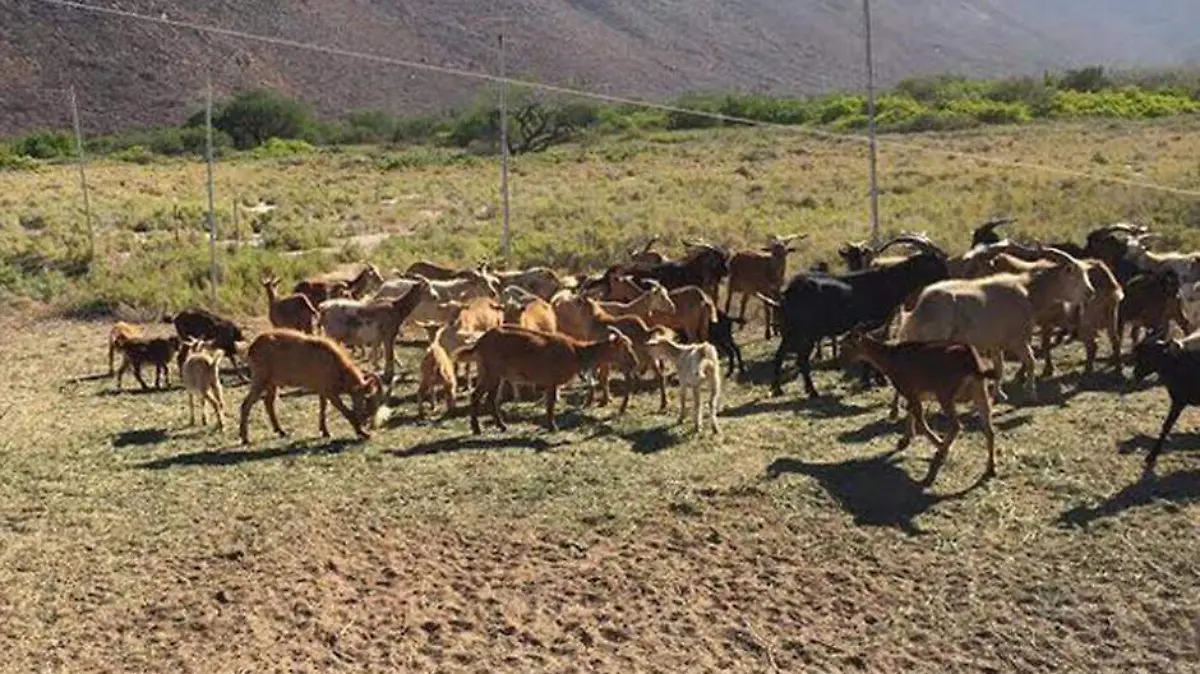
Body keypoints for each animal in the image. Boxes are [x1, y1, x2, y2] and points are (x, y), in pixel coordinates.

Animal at [238, 329, 384, 444]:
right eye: (367, 399)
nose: (366, 422)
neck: (334, 364)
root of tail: (252, 347)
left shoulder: (322, 390)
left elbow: (323, 408)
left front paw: (325, 431)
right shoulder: (330, 392)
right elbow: (345, 411)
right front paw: (362, 433)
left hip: (271, 383)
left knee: (268, 403)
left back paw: (280, 431)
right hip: (260, 380)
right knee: (246, 404)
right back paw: (245, 438)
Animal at [456, 326, 639, 434]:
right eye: (624, 348)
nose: (634, 363)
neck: (577, 352)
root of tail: (479, 343)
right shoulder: (551, 381)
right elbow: (550, 405)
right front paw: (553, 427)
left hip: (495, 374)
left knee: (490, 399)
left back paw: (502, 426)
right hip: (490, 372)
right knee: (476, 396)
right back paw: (477, 429)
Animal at [841, 330, 999, 487]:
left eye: (846, 346)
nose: (840, 362)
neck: (890, 358)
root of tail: (972, 360)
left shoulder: (910, 391)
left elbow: (920, 423)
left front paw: (939, 445)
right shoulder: (917, 394)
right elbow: (911, 413)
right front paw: (904, 441)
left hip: (945, 394)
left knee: (956, 426)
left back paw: (934, 466)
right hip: (980, 392)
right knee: (989, 430)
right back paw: (990, 469)